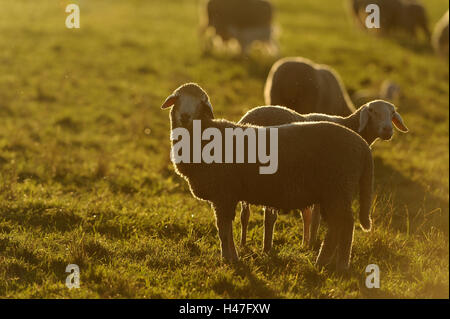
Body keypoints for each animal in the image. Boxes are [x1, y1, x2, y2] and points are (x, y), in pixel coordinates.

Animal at [162, 83, 372, 272]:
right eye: (178, 99)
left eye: (200, 102)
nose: (185, 116)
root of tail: (361, 144)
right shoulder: (225, 196)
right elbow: (226, 229)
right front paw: (231, 257)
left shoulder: (224, 194)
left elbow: (223, 230)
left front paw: (229, 258)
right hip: (333, 191)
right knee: (336, 226)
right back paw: (323, 261)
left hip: (338, 187)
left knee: (346, 224)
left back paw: (341, 264)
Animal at [239, 100, 408, 252]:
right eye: (372, 111)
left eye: (392, 112)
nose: (387, 130)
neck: (350, 125)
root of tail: (251, 119)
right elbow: (315, 218)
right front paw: (311, 243)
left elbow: (307, 216)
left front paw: (305, 243)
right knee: (269, 217)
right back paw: (266, 247)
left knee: (245, 214)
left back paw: (243, 244)